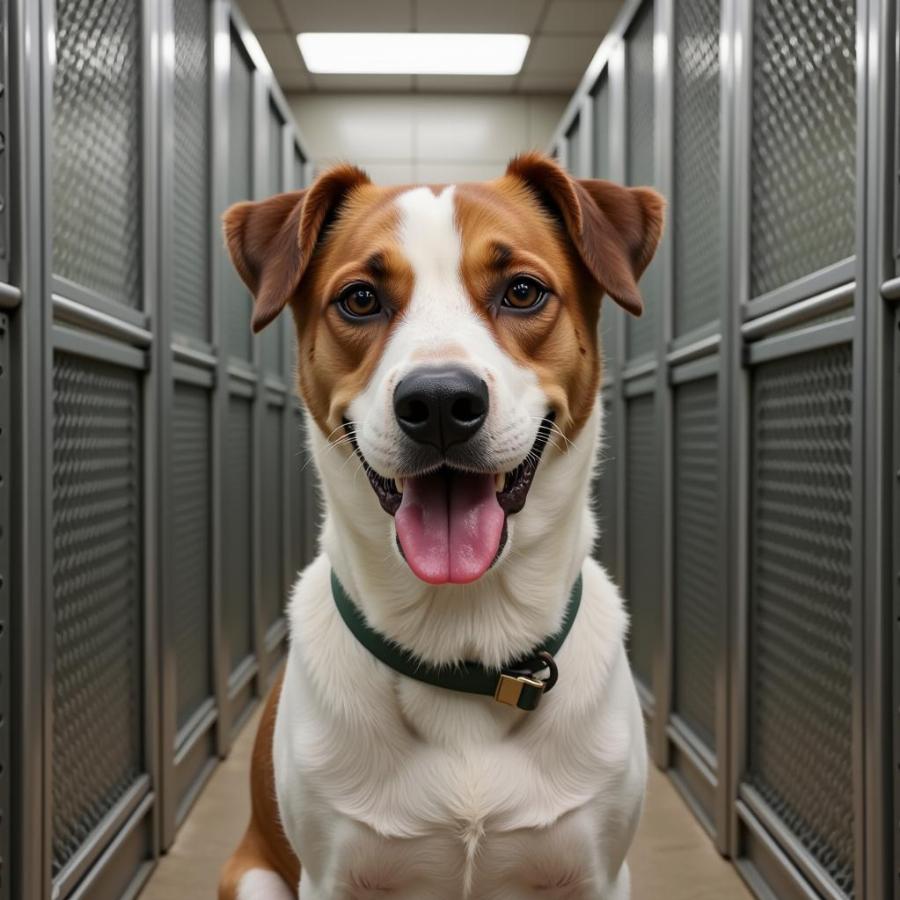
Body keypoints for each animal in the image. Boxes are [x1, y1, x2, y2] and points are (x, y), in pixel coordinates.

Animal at [217, 151, 664, 896]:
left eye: (522, 291)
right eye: (360, 299)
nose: (438, 403)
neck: (463, 640)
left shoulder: (600, 876)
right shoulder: (328, 878)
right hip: (253, 877)